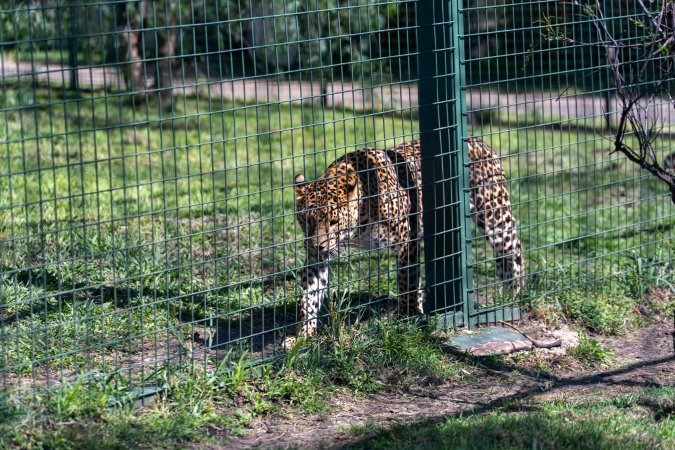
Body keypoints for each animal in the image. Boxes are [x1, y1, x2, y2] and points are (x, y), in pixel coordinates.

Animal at [289, 137, 524, 344]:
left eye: (334, 221)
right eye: (306, 220)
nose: (316, 245)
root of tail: (479, 141)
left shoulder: (406, 240)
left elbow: (406, 279)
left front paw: (406, 315)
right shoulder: (317, 258)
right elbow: (308, 295)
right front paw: (303, 335)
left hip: (495, 218)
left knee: (513, 250)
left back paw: (513, 296)